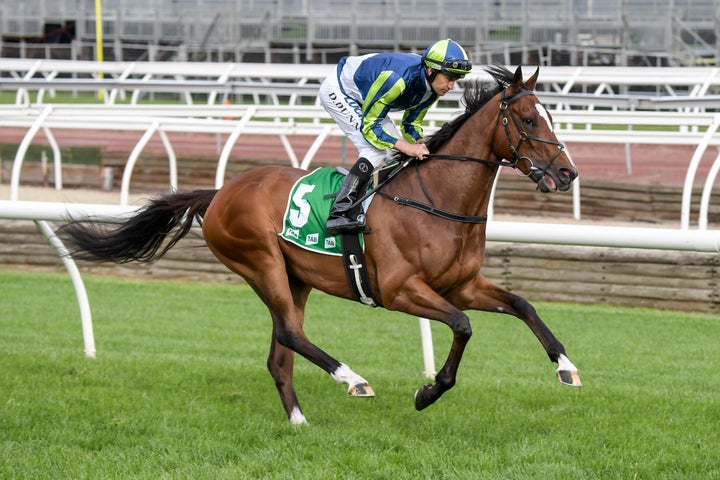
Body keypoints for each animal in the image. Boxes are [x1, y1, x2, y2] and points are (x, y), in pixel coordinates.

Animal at [59, 62, 584, 424]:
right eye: (529, 120)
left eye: (550, 116)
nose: (567, 173)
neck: (436, 200)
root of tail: (221, 191)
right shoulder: (400, 291)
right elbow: (462, 326)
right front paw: (427, 392)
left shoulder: (462, 284)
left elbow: (522, 304)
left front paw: (566, 366)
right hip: (260, 262)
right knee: (291, 334)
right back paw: (353, 380)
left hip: (297, 278)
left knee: (280, 350)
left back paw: (298, 420)